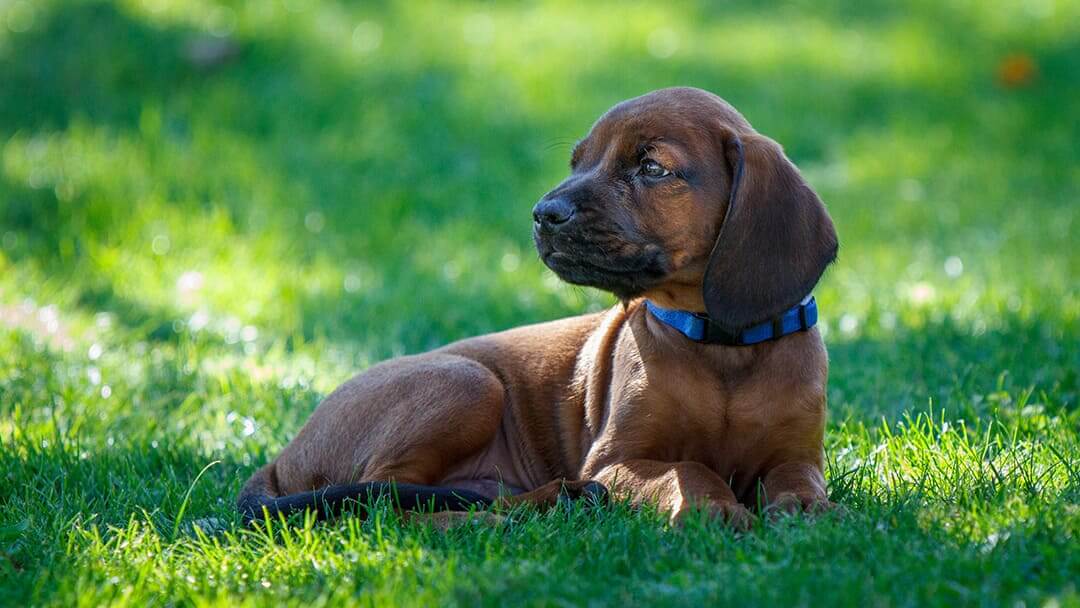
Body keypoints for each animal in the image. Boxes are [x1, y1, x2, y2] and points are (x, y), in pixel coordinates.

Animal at [240, 85, 838, 529]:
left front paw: (807, 509)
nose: (543, 214)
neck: (719, 343)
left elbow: (796, 479)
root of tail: (281, 456)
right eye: (578, 162)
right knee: (380, 499)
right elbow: (687, 469)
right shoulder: (613, 459)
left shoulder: (798, 453)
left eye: (652, 168)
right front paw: (714, 507)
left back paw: (555, 498)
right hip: (466, 382)